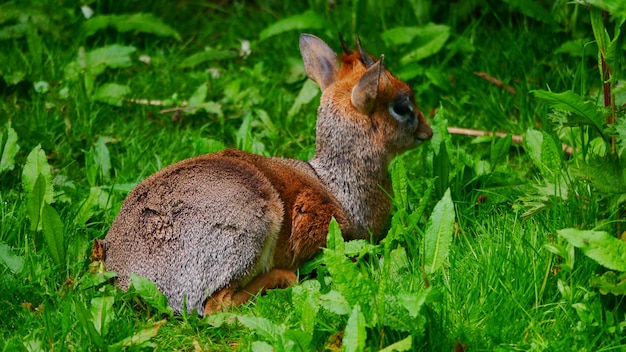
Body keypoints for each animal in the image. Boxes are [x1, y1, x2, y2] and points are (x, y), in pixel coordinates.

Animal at [100, 33, 432, 314]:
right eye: (402, 105)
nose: (428, 132)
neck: (337, 187)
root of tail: (129, 276)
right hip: (252, 230)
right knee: (216, 307)